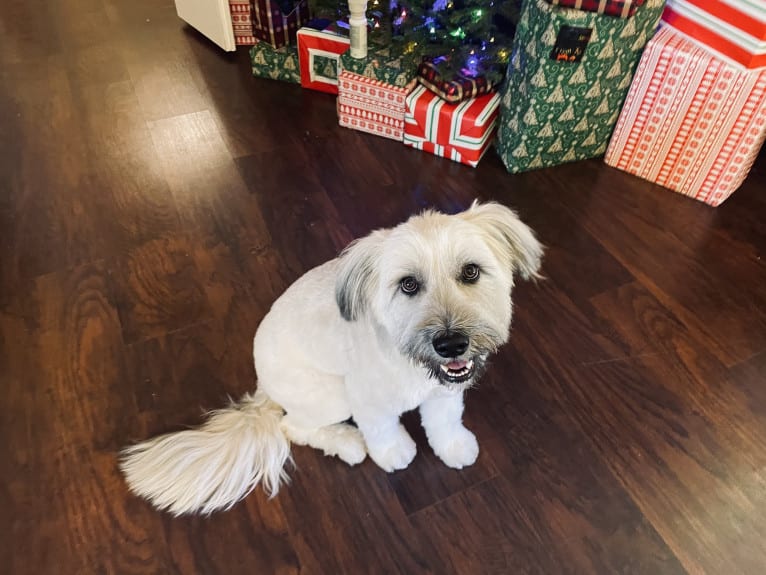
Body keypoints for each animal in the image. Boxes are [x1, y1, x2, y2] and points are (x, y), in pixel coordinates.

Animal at [120, 200, 544, 516]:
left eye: (471, 272)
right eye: (408, 284)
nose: (451, 343)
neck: (409, 362)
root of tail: (262, 388)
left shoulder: (444, 391)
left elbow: (445, 421)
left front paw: (453, 446)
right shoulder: (367, 399)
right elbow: (383, 431)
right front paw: (393, 453)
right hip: (331, 395)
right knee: (293, 427)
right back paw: (348, 443)